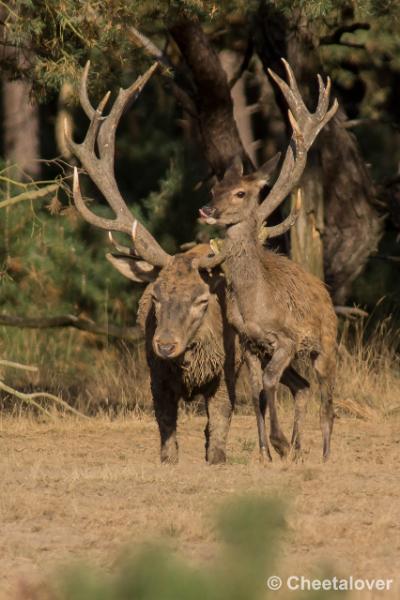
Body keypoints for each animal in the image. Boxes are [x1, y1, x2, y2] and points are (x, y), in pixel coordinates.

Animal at [65, 61, 310, 464]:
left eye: (202, 299)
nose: (165, 345)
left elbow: (220, 429)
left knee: (284, 386)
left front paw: (220, 457)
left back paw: (283, 447)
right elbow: (166, 431)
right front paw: (169, 459)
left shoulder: (228, 369)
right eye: (155, 296)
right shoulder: (155, 374)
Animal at [199, 59, 338, 460]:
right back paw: (296, 447)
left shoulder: (287, 339)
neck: (253, 302)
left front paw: (277, 441)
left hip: (328, 342)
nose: (207, 209)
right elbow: (257, 389)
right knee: (303, 386)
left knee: (327, 400)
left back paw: (324, 453)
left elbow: (270, 383)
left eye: (240, 193)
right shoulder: (249, 343)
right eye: (215, 187)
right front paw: (267, 449)